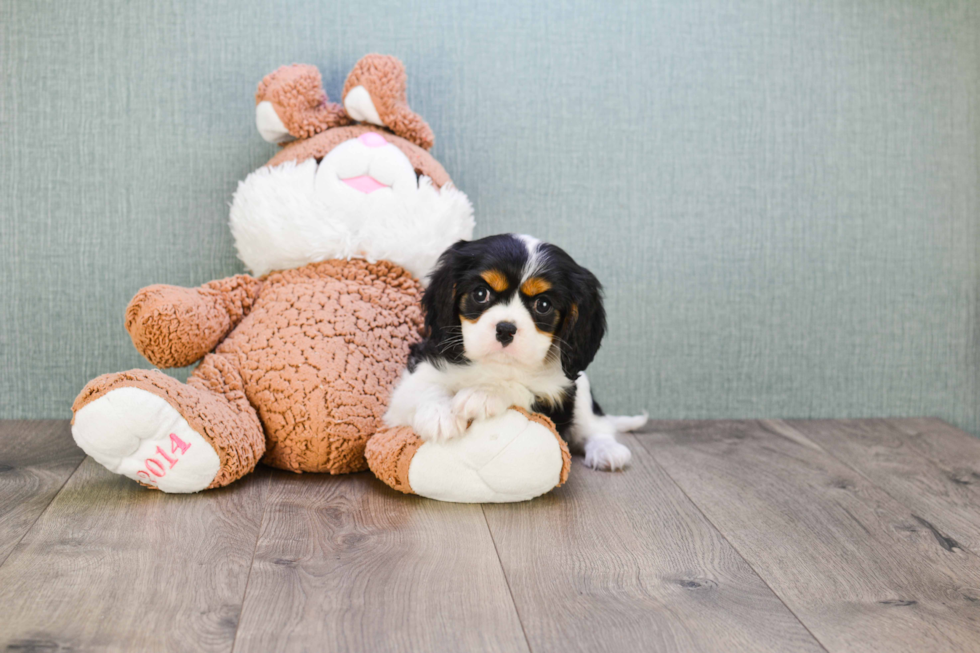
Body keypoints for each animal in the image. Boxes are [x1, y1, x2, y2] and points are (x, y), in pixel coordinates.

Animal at [384, 234, 652, 468]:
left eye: (543, 305)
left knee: (597, 427)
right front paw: (440, 415)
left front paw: (484, 393)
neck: (497, 365)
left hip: (584, 393)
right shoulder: (418, 370)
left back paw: (607, 450)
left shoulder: (556, 397)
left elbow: (523, 390)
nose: (505, 329)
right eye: (480, 293)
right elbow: (423, 387)